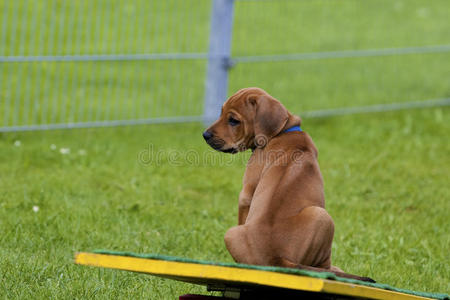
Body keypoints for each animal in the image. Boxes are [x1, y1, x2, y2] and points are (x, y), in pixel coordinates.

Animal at [203, 86, 372, 282]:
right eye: (221, 113)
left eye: (233, 120)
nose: (205, 135)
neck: (282, 132)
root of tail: (278, 258)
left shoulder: (246, 193)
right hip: (234, 232)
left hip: (322, 216)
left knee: (323, 266)